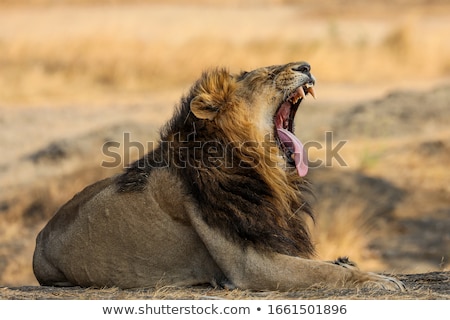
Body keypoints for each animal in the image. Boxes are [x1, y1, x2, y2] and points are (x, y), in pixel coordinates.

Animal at [31, 61, 404, 292]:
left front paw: (355, 265)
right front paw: (377, 280)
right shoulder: (249, 265)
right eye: (266, 76)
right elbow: (322, 271)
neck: (265, 172)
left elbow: (325, 264)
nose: (307, 66)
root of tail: (38, 241)